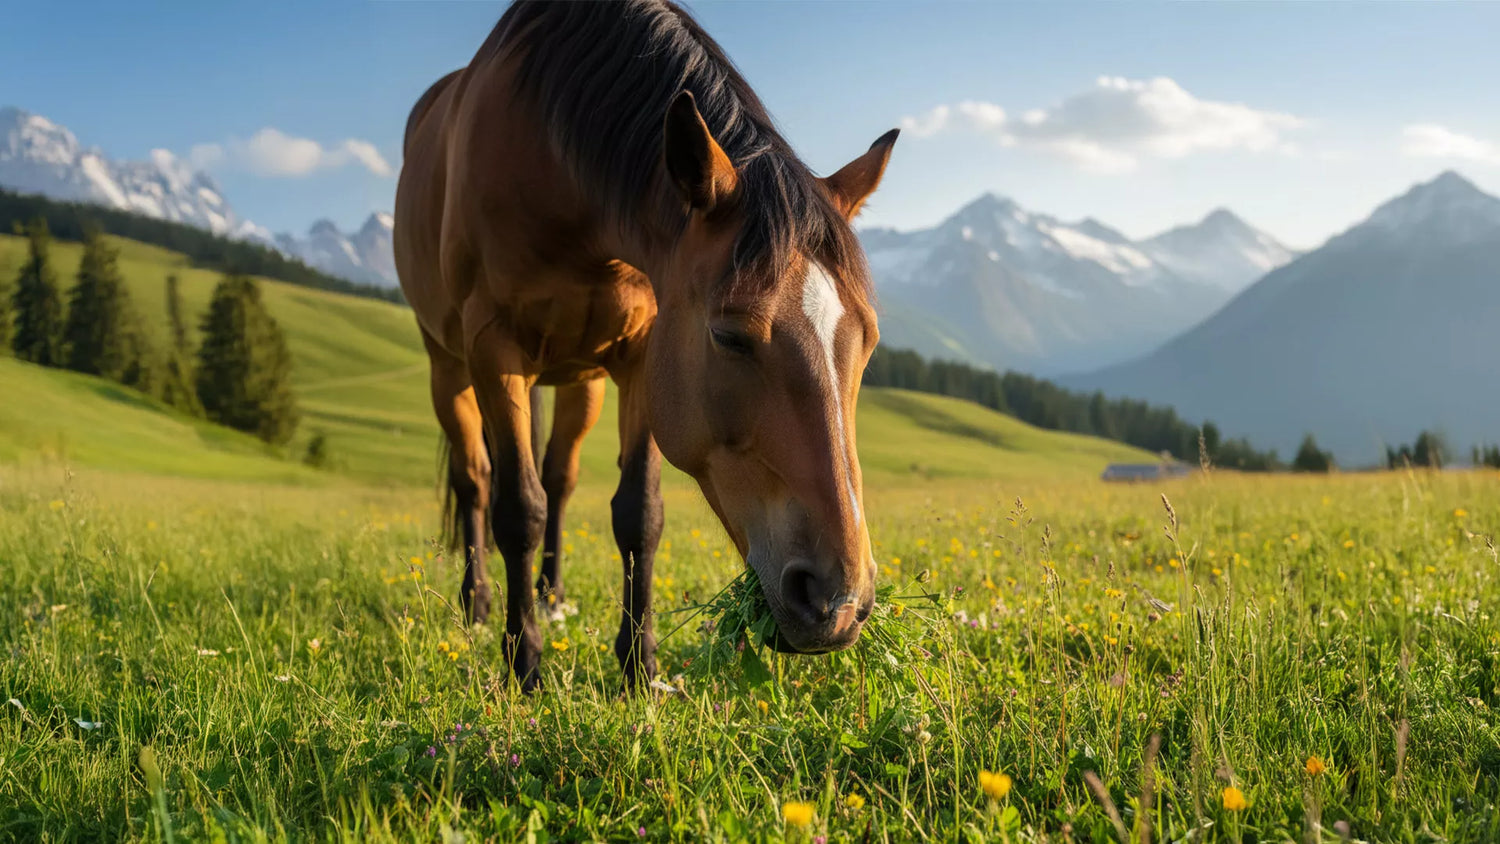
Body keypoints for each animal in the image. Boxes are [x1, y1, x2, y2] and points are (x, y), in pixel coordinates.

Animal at [394, 0, 897, 691]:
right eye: (729, 335)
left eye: (868, 341)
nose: (839, 602)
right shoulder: (495, 349)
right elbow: (517, 508)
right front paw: (524, 665)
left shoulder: (641, 358)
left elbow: (638, 512)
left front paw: (639, 666)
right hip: (450, 368)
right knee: (476, 482)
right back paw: (479, 605)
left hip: (580, 380)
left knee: (560, 479)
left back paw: (551, 598)